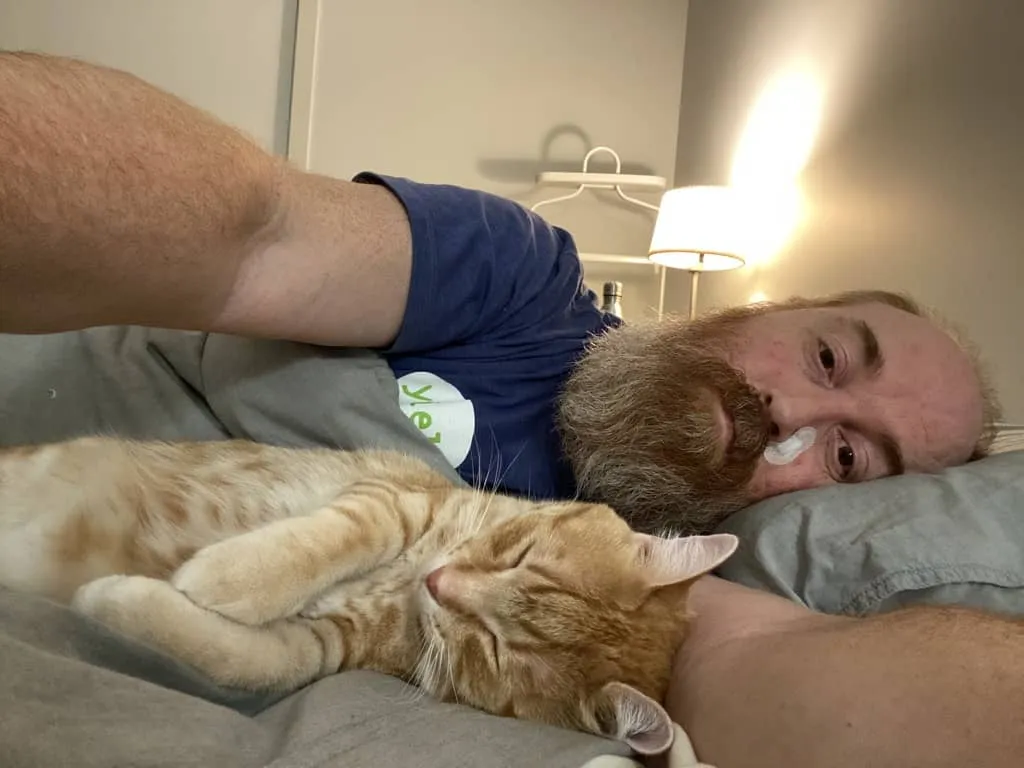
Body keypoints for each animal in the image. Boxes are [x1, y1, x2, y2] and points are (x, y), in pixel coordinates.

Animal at [0, 436, 737, 753]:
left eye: (495, 650)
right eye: (518, 555)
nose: (439, 583)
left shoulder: (328, 645)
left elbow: (246, 658)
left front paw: (115, 598)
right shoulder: (393, 498)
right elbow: (337, 536)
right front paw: (232, 574)